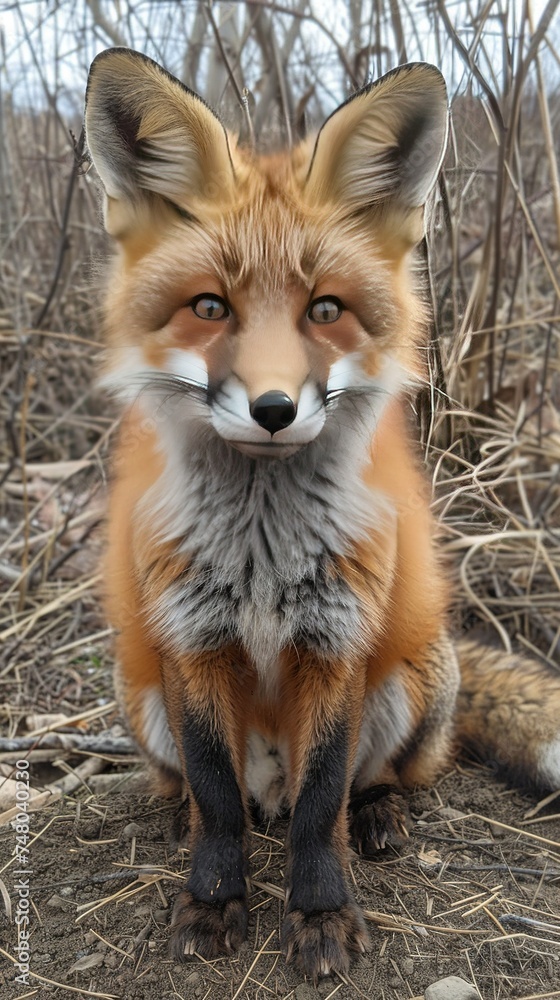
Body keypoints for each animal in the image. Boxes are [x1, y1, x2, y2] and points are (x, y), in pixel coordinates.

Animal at [84, 48, 560, 981]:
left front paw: (322, 916)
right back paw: (180, 818)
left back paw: (378, 815)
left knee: (373, 780)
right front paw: (213, 901)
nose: (273, 409)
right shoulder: (192, 642)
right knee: (206, 789)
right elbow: (217, 795)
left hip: (409, 679)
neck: (262, 559)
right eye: (210, 307)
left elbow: (319, 803)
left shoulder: (335, 643)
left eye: (326, 310)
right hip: (140, 687)